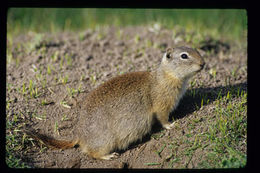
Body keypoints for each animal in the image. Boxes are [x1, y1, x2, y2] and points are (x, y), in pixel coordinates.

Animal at [23, 46, 205, 161]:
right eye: (184, 56)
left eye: (196, 50)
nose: (203, 64)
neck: (165, 76)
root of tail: (79, 135)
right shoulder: (161, 103)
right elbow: (162, 117)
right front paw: (171, 125)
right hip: (106, 141)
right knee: (90, 152)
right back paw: (108, 156)